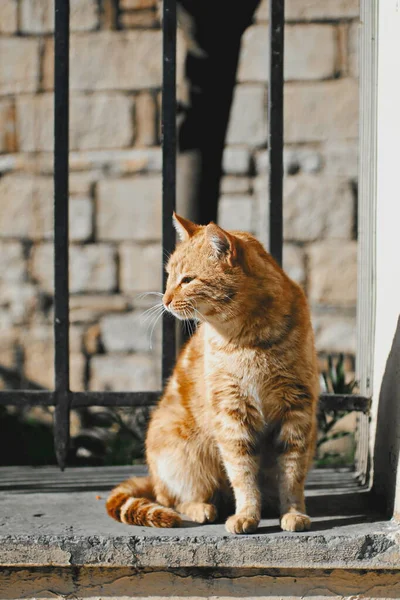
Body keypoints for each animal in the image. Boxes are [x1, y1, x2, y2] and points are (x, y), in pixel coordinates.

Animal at [106, 213, 318, 532]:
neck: (248, 340)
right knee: (173, 499)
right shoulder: (231, 414)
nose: (165, 300)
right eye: (169, 276)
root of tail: (152, 478)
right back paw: (201, 508)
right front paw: (246, 514)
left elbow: (292, 474)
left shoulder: (297, 411)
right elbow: (242, 474)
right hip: (183, 457)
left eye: (187, 279)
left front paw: (293, 512)